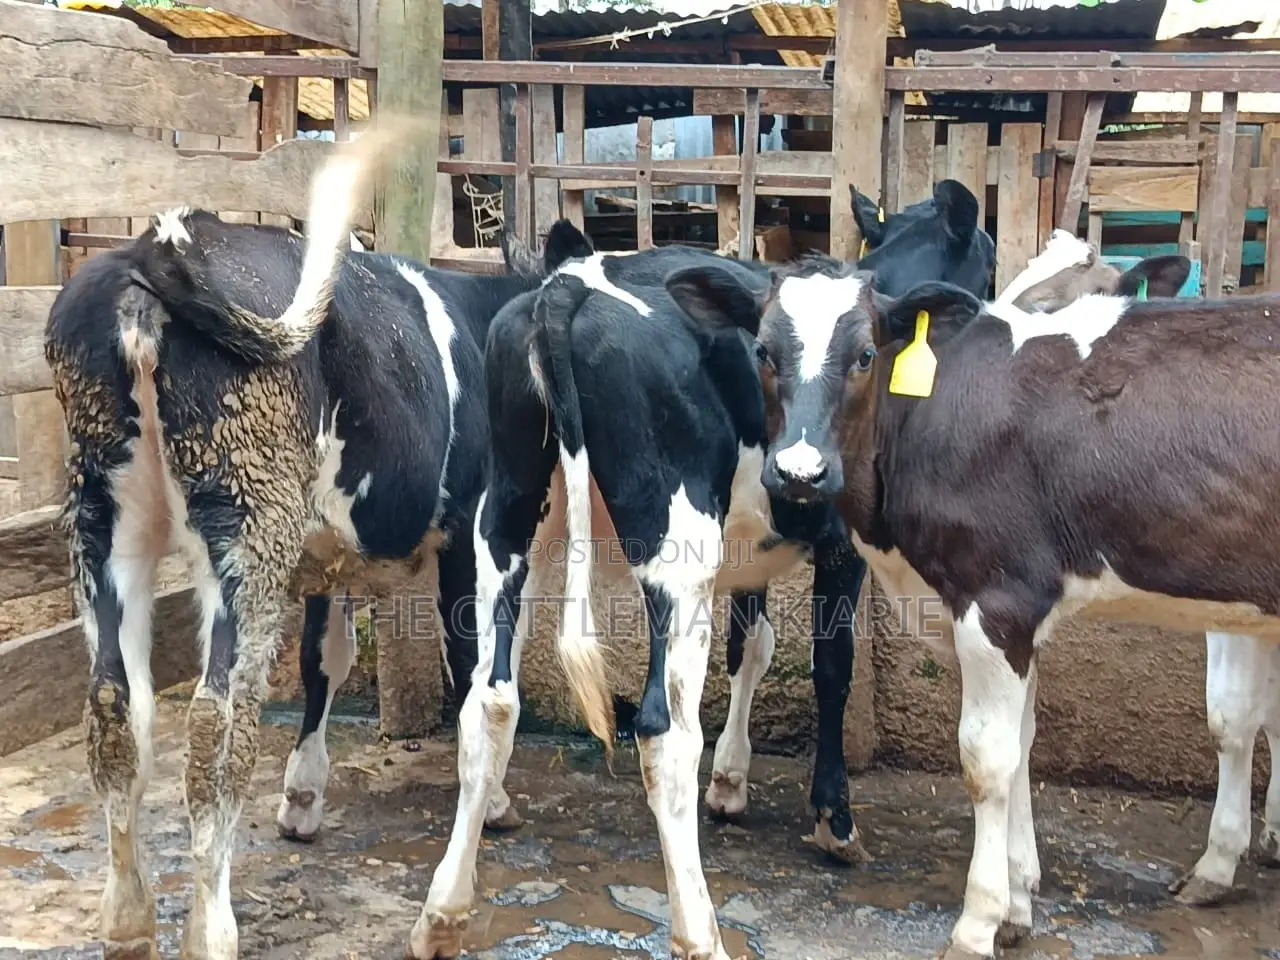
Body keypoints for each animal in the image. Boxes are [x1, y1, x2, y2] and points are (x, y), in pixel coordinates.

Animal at [42, 130, 539, 960]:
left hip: (105, 519)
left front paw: (303, 795)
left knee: (116, 706)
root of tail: (151, 248)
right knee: (216, 722)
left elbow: (324, 659)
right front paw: (496, 802)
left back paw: (128, 920)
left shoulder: (328, 554)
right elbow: (472, 669)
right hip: (248, 521)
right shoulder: (471, 533)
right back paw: (211, 928)